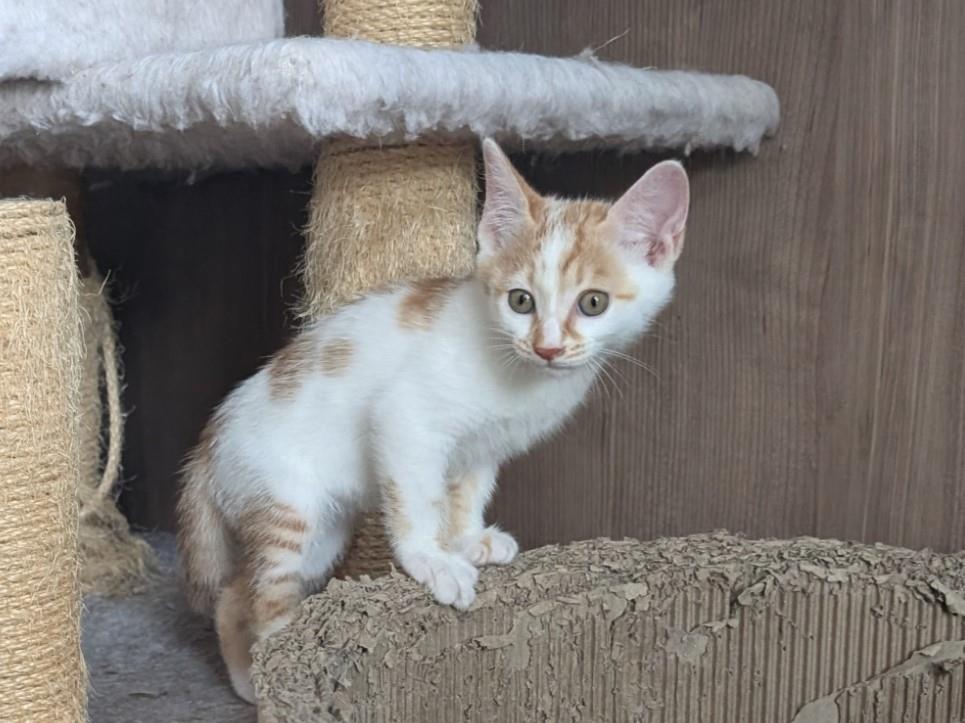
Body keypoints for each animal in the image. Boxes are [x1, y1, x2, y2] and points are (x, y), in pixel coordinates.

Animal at [176, 138, 689, 703]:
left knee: (232, 594)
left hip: (322, 535)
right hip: (288, 506)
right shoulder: (406, 418)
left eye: (593, 303)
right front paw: (431, 558)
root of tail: (207, 443)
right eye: (521, 300)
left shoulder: (481, 447)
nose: (548, 347)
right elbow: (419, 496)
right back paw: (269, 677)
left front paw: (467, 538)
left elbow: (465, 492)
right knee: (259, 599)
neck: (517, 372)